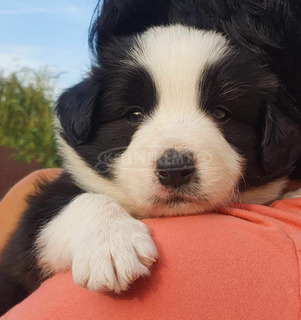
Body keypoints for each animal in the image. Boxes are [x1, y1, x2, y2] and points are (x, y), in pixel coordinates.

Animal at [0, 0, 300, 316]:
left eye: (222, 114)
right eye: (133, 114)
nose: (175, 169)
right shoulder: (23, 244)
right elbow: (73, 203)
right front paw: (111, 243)